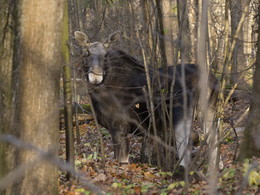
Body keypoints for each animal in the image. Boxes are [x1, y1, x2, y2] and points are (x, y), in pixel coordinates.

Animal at [74, 30, 218, 169]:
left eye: (105, 55)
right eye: (86, 53)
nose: (96, 76)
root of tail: (212, 79)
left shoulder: (119, 126)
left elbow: (122, 162)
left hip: (180, 114)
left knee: (185, 146)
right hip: (207, 110)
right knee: (213, 139)